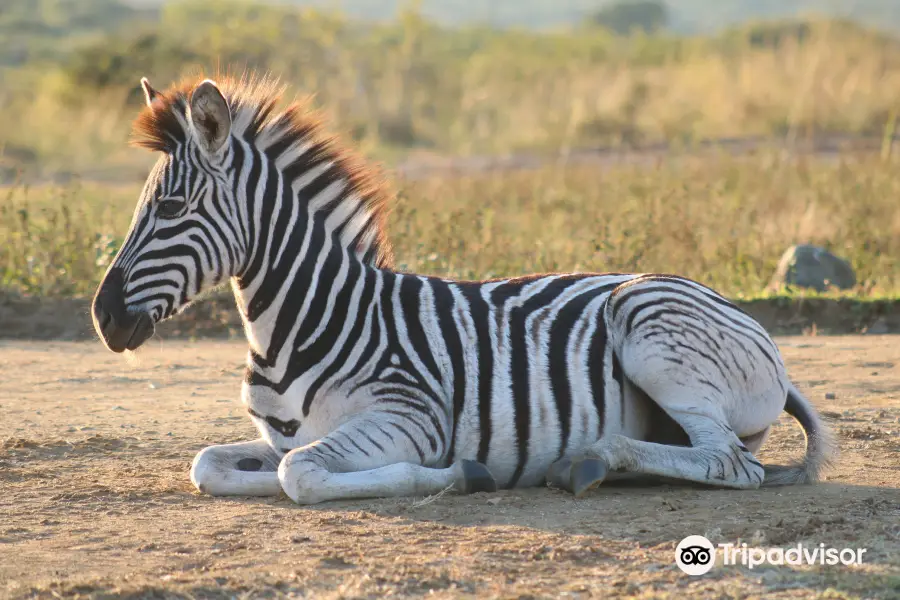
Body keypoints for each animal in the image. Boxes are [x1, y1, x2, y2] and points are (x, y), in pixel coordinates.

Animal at [93, 76, 836, 506]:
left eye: (173, 209)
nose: (103, 318)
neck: (306, 320)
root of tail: (743, 318)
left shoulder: (408, 418)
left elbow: (299, 474)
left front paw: (460, 475)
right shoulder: (281, 436)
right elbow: (212, 464)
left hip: (648, 322)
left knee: (727, 462)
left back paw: (591, 461)